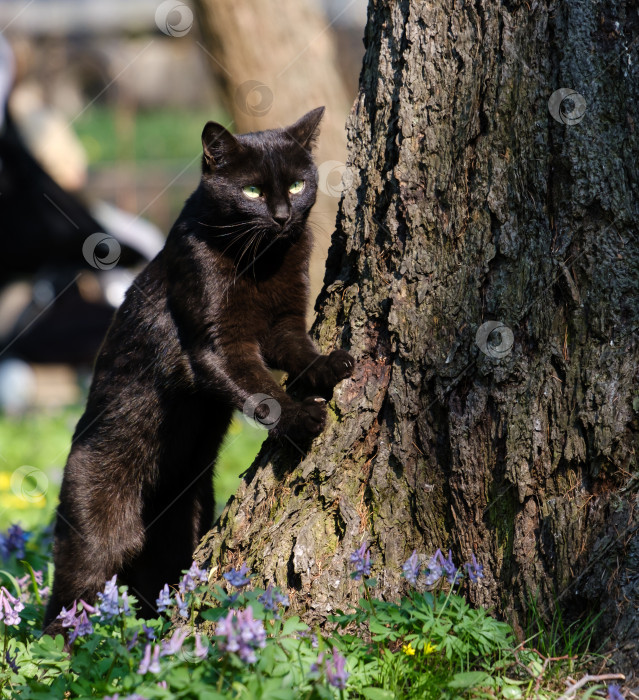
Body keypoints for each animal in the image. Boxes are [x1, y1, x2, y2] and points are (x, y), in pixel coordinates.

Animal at [43, 108, 358, 636]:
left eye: (297, 185)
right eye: (251, 191)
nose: (281, 216)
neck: (262, 260)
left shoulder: (284, 325)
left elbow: (299, 353)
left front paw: (330, 364)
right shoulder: (216, 347)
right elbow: (260, 391)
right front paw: (301, 417)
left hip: (183, 528)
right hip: (95, 538)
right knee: (65, 608)